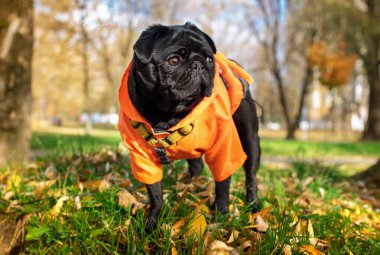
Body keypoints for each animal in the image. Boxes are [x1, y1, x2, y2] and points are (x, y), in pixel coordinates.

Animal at [119, 22, 262, 233]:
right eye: (174, 60)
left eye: (209, 59)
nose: (199, 64)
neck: (168, 115)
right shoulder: (142, 159)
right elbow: (155, 193)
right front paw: (153, 222)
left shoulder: (224, 150)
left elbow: (222, 184)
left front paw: (221, 216)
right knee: (196, 165)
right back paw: (190, 186)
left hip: (250, 139)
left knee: (251, 176)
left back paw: (253, 206)